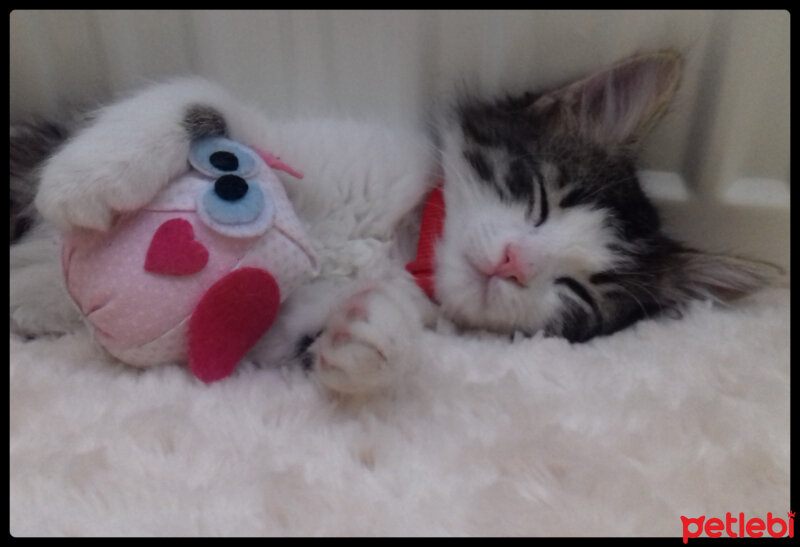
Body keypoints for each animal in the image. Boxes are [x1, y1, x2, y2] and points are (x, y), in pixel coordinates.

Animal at [10, 51, 776, 394]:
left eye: (577, 292)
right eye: (538, 196)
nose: (513, 263)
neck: (400, 244)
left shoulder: (270, 331)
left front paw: (371, 335)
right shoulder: (300, 147)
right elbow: (201, 100)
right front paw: (85, 178)